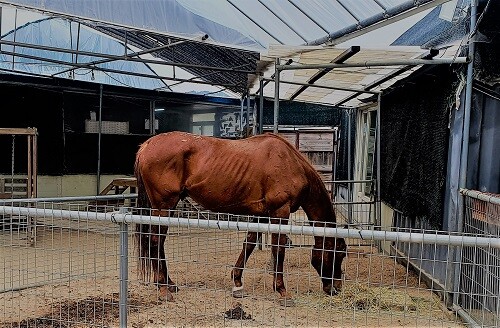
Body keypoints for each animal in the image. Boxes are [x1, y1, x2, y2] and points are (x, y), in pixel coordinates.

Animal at [136, 130, 348, 302]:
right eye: (339, 253)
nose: (336, 288)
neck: (289, 163)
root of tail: (146, 145)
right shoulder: (279, 212)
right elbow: (278, 249)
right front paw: (281, 290)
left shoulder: (262, 214)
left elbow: (250, 243)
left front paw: (237, 282)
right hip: (164, 205)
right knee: (155, 241)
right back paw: (163, 288)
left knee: (158, 242)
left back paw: (168, 283)